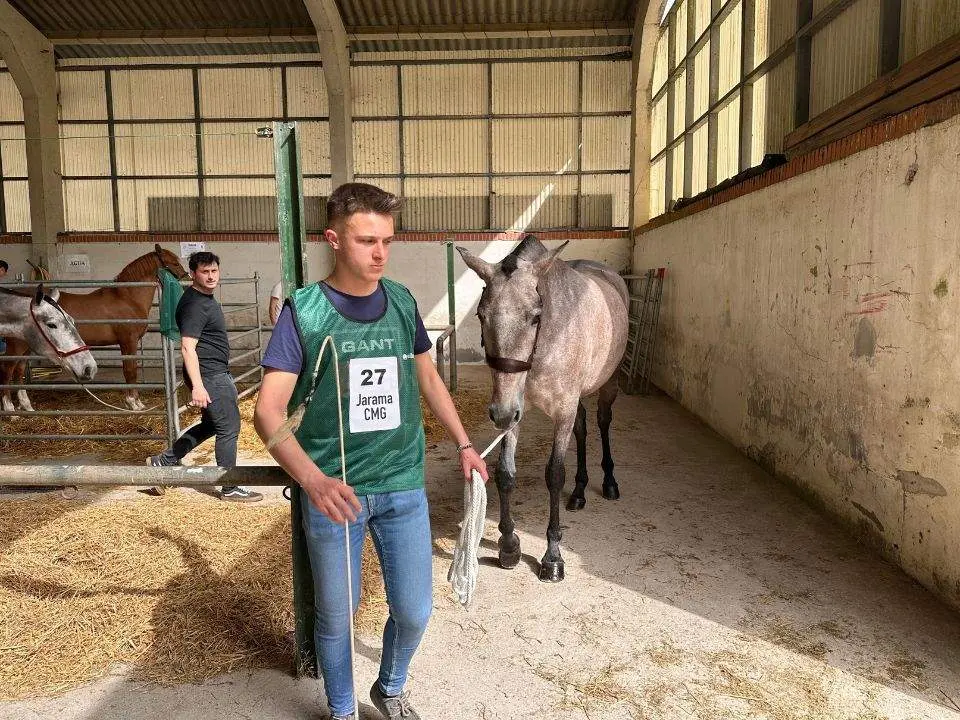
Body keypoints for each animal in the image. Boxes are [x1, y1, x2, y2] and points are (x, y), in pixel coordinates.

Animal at [0, 245, 189, 412]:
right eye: (174, 262)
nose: (186, 277)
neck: (127, 297)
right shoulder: (128, 341)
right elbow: (130, 371)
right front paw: (133, 403)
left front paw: (136, 403)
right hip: (16, 346)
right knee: (7, 370)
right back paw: (10, 409)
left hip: (26, 346)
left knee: (19, 371)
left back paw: (26, 406)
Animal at [457, 235, 629, 582]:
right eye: (481, 315)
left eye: (535, 316)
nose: (499, 414)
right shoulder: (514, 409)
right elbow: (505, 473)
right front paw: (509, 546)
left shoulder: (561, 411)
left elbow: (554, 474)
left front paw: (552, 557)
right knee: (583, 427)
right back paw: (579, 492)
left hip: (609, 382)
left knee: (602, 422)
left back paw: (608, 482)